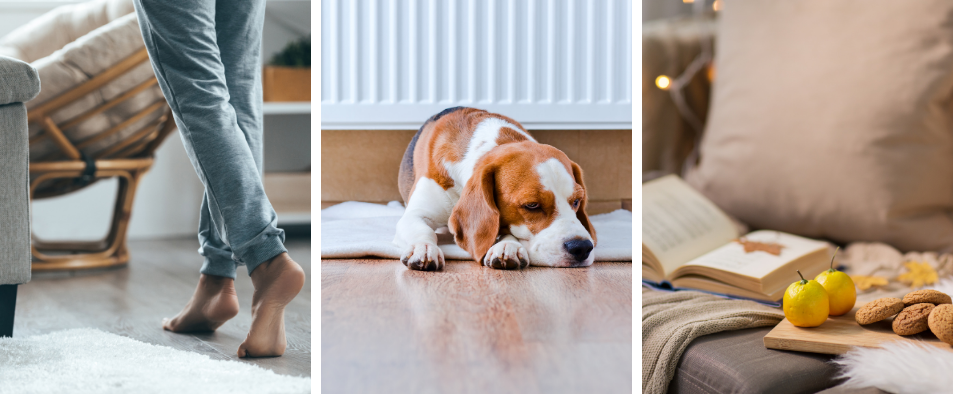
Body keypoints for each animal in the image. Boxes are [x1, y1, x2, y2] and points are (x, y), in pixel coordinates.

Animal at [390, 107, 592, 270]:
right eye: (532, 205)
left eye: (576, 201)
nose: (582, 247)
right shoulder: (415, 214)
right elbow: (423, 230)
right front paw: (423, 248)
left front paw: (508, 246)